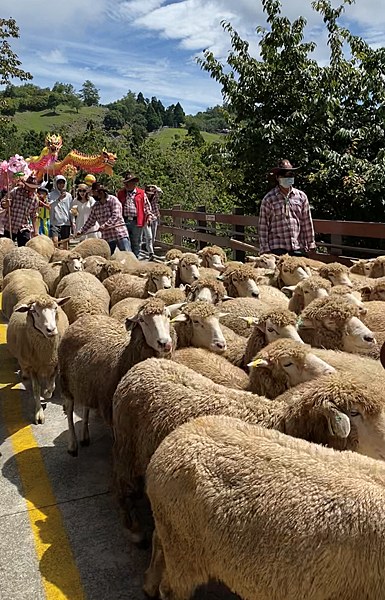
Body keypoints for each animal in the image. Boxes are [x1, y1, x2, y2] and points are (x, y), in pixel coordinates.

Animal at [59, 298, 175, 458]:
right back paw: (72, 445)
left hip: (86, 383)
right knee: (70, 410)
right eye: (142, 320)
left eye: (168, 316)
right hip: (66, 382)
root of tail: (84, 319)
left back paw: (84, 436)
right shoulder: (113, 409)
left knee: (86, 406)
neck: (123, 357)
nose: (164, 343)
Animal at [112, 360, 385, 544]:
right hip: (126, 448)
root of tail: (142, 365)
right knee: (122, 485)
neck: (282, 423)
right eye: (354, 412)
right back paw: (133, 528)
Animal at [144, 414, 385, 600]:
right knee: (171, 588)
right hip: (184, 548)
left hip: (170, 528)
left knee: (157, 543)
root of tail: (177, 435)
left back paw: (149, 585)